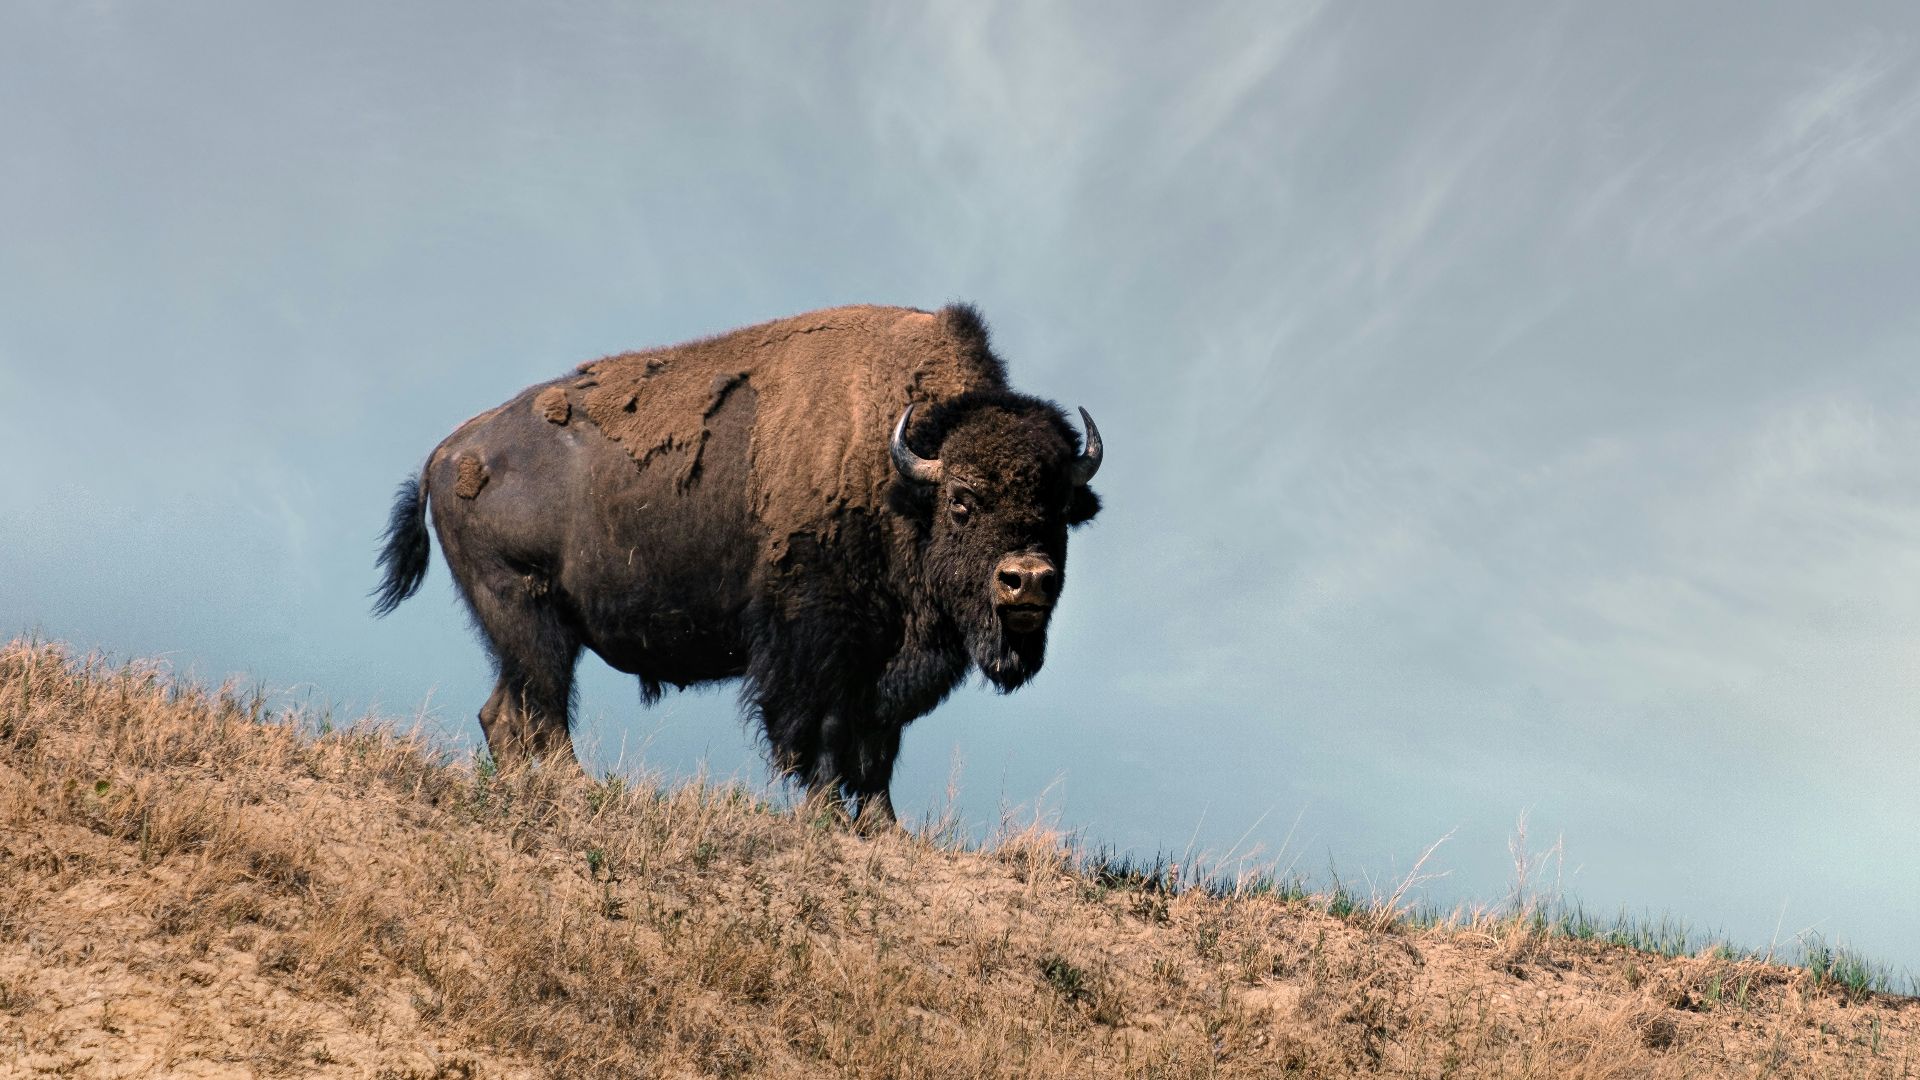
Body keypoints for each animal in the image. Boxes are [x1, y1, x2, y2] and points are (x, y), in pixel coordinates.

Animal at [373, 303, 1102, 826]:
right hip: (529, 614)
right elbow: (828, 732)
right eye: (962, 500)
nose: (1026, 581)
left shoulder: (887, 659)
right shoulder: (820, 643)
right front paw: (826, 816)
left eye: (1059, 507)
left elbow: (879, 743)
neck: (900, 478)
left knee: (506, 711)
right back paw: (578, 789)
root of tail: (448, 452)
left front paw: (884, 827)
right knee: (543, 709)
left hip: (525, 630)